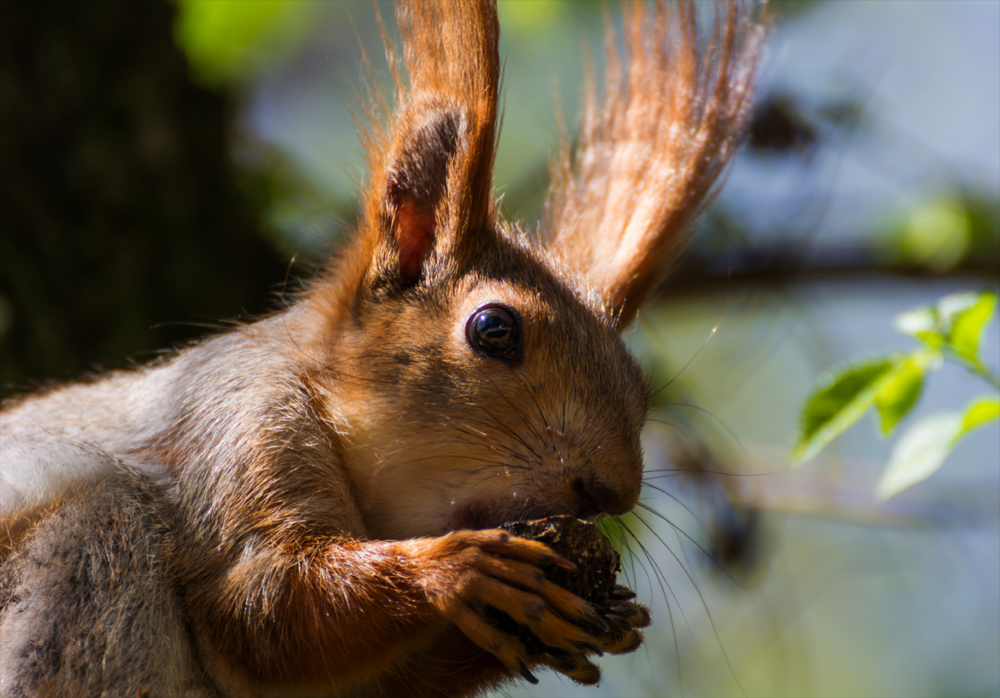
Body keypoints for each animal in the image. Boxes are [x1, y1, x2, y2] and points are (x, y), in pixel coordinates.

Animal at [0, 2, 764, 692]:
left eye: (639, 384)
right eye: (494, 330)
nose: (612, 492)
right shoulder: (229, 433)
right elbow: (260, 608)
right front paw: (457, 569)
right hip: (86, 555)